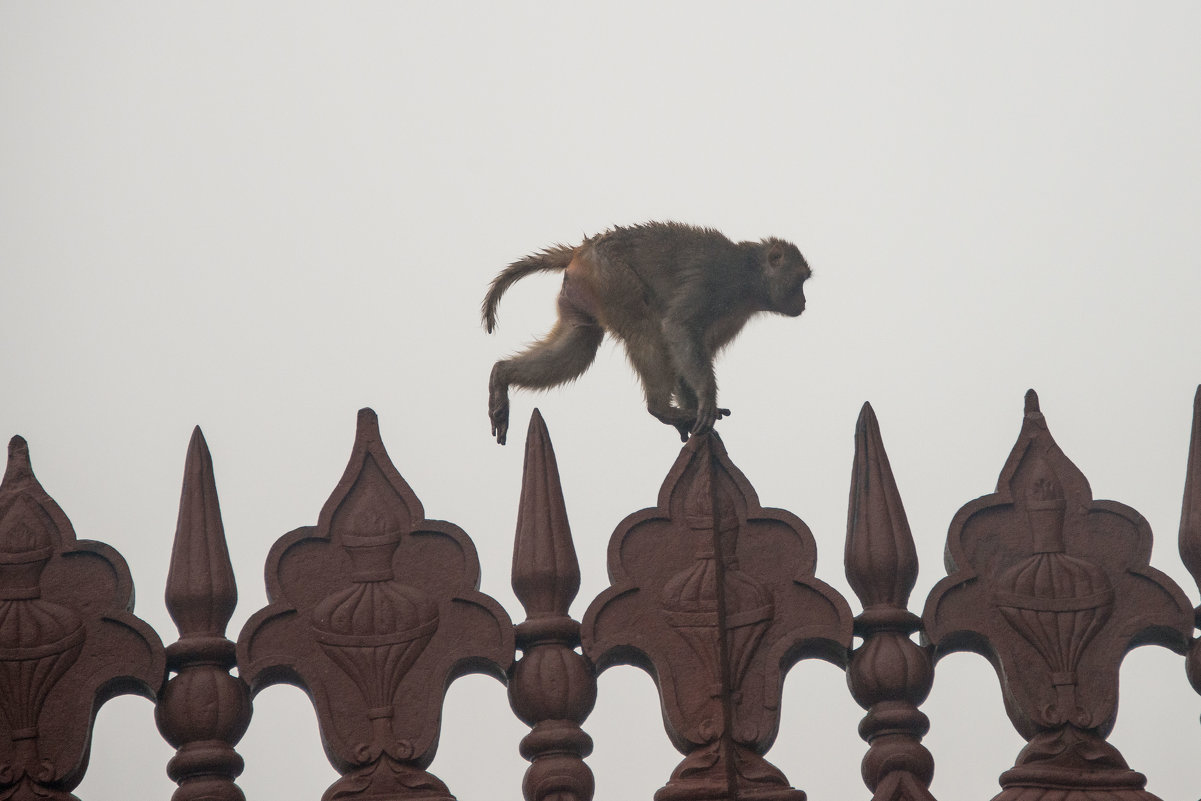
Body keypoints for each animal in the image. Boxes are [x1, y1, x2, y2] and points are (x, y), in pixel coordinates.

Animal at [482, 220, 811, 444]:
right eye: (800, 281)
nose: (804, 301)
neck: (750, 278)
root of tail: (581, 250)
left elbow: (688, 350)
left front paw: (697, 409)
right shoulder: (717, 279)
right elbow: (678, 328)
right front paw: (705, 399)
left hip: (584, 289)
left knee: (579, 343)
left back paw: (502, 375)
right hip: (609, 276)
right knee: (645, 327)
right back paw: (659, 408)